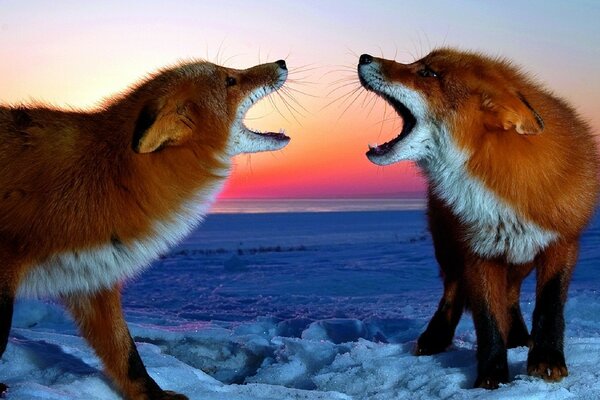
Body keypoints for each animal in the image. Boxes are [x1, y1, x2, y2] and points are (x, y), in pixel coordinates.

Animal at [0, 57, 290, 398]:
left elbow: (126, 355)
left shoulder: (90, 276)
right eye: (230, 80)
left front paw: (154, 395)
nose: (282, 62)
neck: (110, 178)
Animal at [358, 48, 596, 390]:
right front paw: (491, 377)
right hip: (448, 248)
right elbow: (487, 320)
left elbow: (549, 307)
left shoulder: (562, 242)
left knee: (510, 295)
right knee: (453, 291)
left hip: (520, 258)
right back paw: (435, 338)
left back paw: (519, 337)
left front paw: (547, 360)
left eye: (427, 73)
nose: (364, 57)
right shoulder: (478, 251)